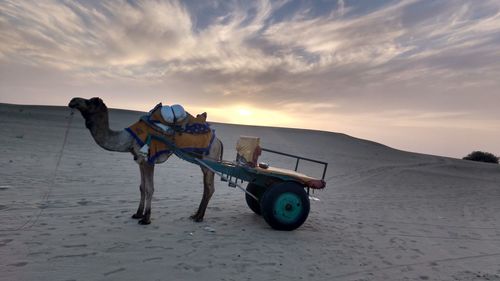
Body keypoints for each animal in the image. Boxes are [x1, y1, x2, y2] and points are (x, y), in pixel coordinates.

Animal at [68, 97, 223, 224]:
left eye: (90, 101)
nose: (73, 101)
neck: (129, 139)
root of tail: (218, 141)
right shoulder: (140, 161)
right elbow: (142, 187)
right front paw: (137, 214)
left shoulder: (149, 161)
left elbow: (150, 188)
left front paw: (146, 219)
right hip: (205, 162)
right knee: (207, 187)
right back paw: (196, 215)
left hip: (209, 159)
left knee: (209, 188)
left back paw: (199, 217)